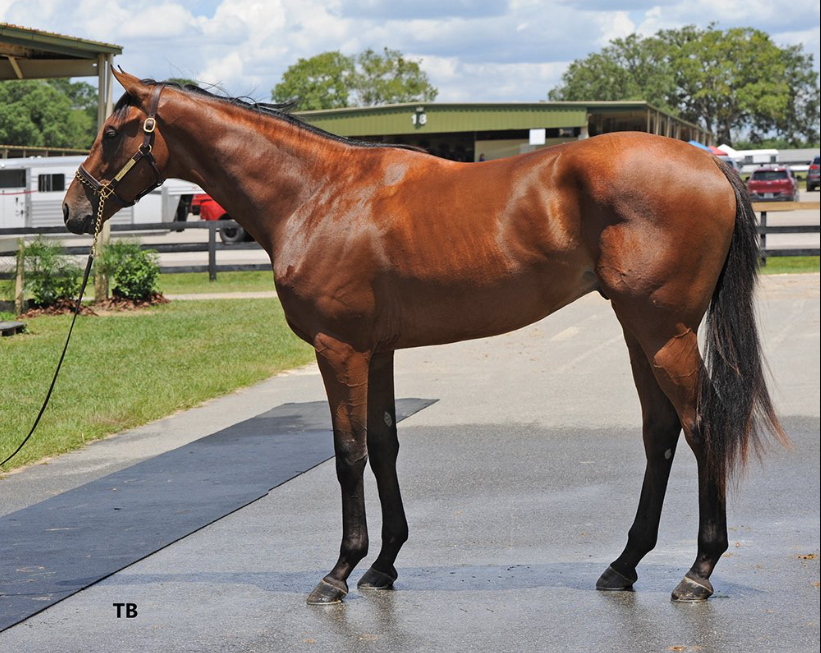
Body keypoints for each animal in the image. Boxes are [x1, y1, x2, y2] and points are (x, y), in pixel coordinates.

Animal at [60, 69, 784, 604]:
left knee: (701, 426)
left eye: (115, 131)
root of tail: (707, 164)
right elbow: (384, 446)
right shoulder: (375, 350)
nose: (72, 208)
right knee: (660, 433)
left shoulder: (338, 348)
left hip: (661, 331)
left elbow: (348, 451)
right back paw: (624, 564)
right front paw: (382, 565)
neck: (317, 195)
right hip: (640, 330)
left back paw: (698, 572)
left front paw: (338, 572)